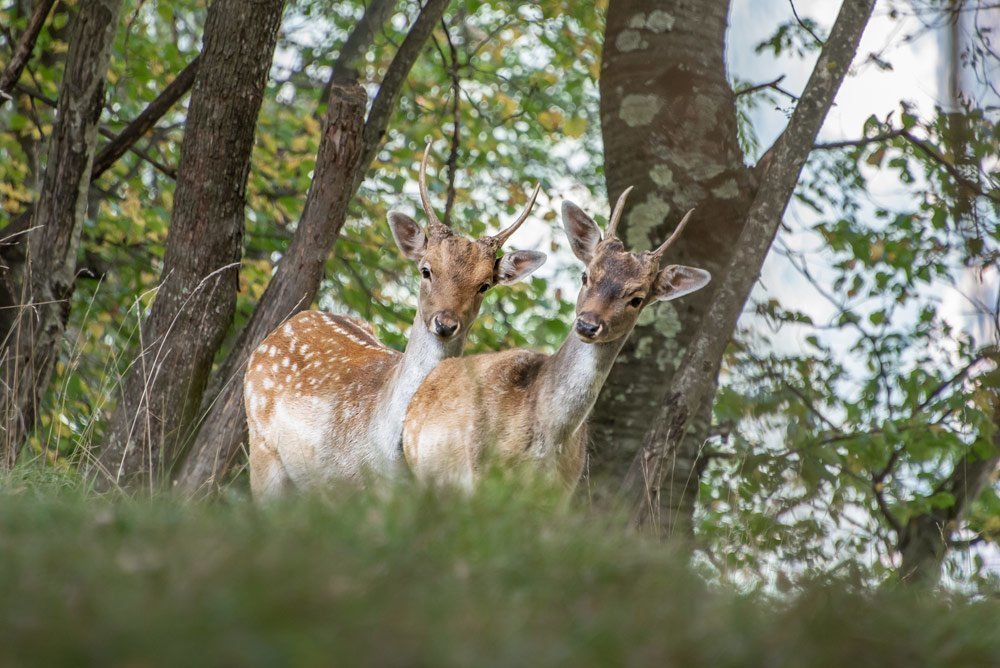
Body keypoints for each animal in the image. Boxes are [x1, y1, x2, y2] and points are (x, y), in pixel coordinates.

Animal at [398, 188, 712, 490]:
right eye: (586, 276)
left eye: (637, 298)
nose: (588, 324)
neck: (551, 436)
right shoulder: (480, 471)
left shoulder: (564, 490)